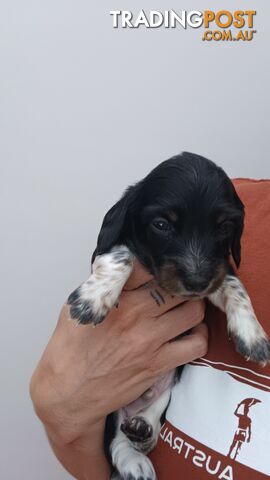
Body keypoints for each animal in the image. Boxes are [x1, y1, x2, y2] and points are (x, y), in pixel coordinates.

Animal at [67, 153, 270, 480]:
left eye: (224, 226)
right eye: (161, 224)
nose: (197, 282)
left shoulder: (216, 270)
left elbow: (233, 283)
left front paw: (251, 335)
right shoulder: (114, 248)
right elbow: (121, 256)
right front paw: (91, 300)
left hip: (172, 381)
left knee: (151, 415)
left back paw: (142, 428)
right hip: (110, 408)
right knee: (114, 440)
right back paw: (134, 462)